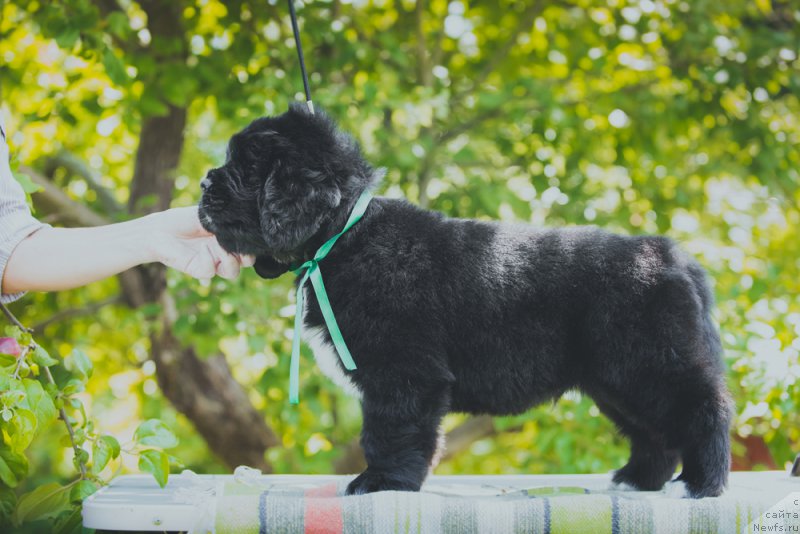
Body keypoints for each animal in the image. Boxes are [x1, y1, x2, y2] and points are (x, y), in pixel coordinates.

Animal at [198, 105, 732, 502]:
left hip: (650, 363)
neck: (345, 236)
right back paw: (639, 479)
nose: (203, 185)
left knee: (705, 409)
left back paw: (701, 484)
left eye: (245, 169)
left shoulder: (403, 371)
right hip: (617, 380)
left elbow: (388, 429)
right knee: (653, 431)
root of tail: (675, 257)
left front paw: (382, 482)